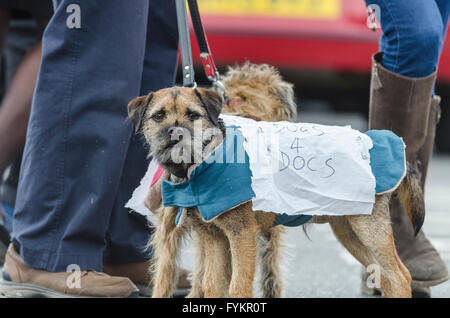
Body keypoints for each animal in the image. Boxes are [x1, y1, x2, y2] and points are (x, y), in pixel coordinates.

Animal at [127, 62, 426, 298]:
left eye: (193, 115)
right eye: (158, 116)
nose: (175, 133)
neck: (206, 158)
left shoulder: (242, 235)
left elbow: (237, 287)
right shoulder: (214, 239)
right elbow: (211, 286)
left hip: (368, 228)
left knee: (400, 276)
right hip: (349, 231)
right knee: (385, 276)